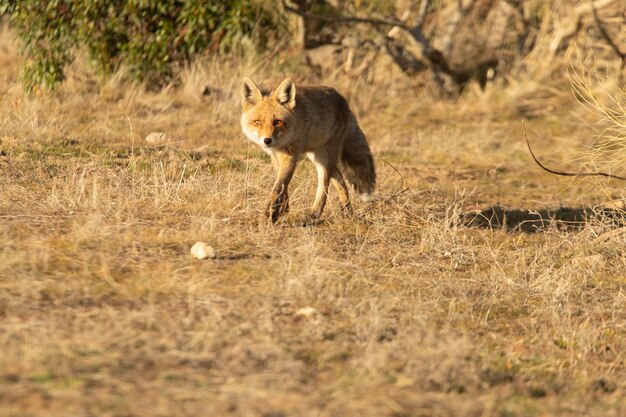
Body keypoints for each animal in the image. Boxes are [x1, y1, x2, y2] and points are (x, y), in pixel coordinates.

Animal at [240, 77, 376, 223]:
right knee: (341, 181)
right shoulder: (275, 155)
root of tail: (343, 100)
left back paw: (314, 214)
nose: (267, 140)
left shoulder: (290, 155)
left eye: (277, 122)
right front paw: (283, 207)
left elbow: (279, 184)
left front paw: (271, 211)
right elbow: (282, 184)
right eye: (257, 122)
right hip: (319, 157)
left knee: (324, 185)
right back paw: (347, 211)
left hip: (324, 158)